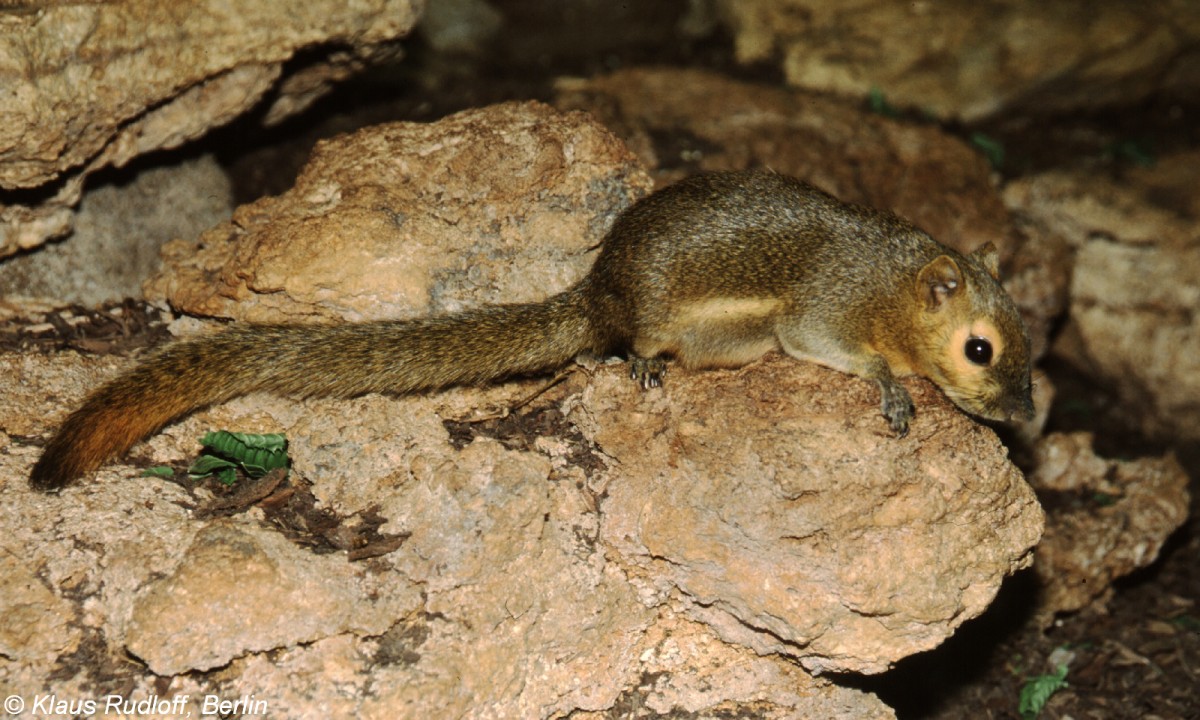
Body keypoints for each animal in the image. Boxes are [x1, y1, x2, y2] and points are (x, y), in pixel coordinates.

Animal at [32, 171, 1036, 492]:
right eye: (980, 349)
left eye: (1030, 349)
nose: (1024, 415)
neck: (893, 281)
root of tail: (594, 291)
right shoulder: (814, 316)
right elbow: (849, 357)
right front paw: (895, 391)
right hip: (660, 326)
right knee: (626, 346)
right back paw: (642, 369)